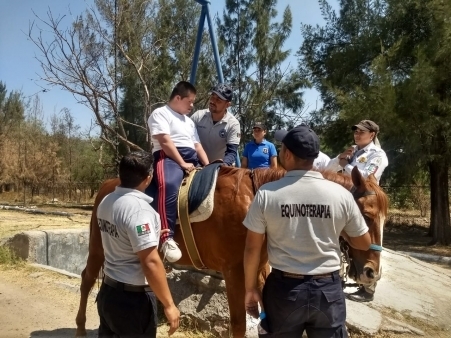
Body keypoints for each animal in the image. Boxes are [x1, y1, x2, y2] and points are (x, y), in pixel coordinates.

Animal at [75, 166, 388, 336]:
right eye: (366, 215)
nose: (372, 272)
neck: (258, 203)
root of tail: (110, 183)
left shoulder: (259, 271)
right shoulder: (235, 272)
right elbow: (239, 324)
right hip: (98, 246)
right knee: (88, 278)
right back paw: (79, 326)